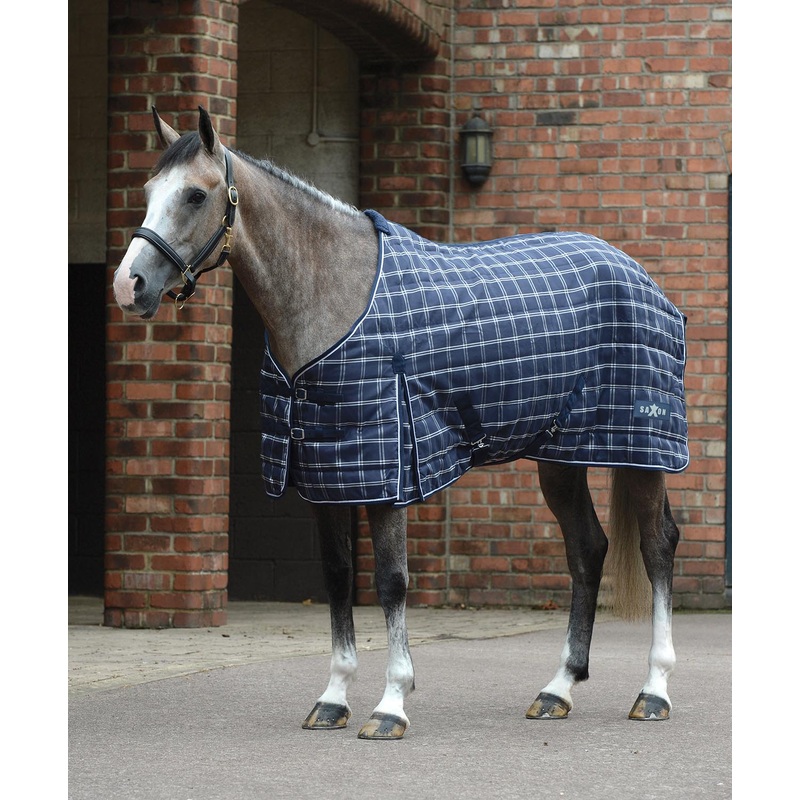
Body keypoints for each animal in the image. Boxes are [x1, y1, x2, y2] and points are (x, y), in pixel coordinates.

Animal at [113, 106, 686, 740]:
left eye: (194, 194)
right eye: (147, 191)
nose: (128, 285)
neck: (334, 295)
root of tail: (637, 273)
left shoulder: (386, 470)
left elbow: (391, 581)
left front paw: (391, 705)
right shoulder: (327, 473)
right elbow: (339, 577)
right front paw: (333, 700)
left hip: (644, 449)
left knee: (658, 546)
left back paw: (654, 691)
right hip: (561, 456)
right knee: (586, 548)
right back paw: (556, 689)